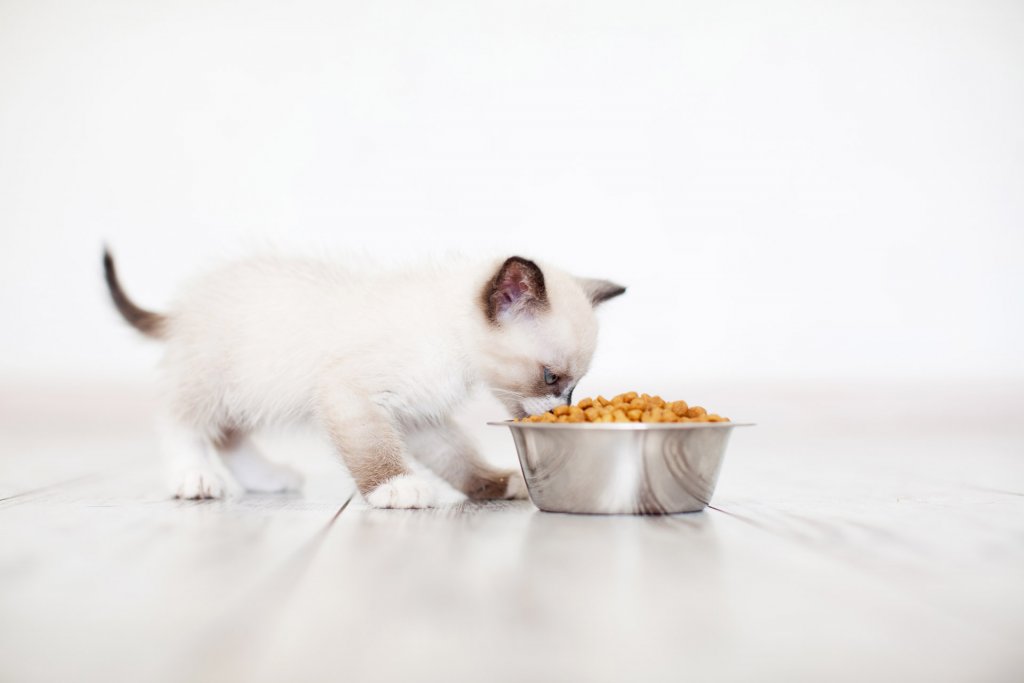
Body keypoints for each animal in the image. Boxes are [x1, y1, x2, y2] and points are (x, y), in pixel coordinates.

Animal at [108, 250, 626, 507]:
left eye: (574, 386)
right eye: (551, 377)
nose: (562, 409)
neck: (453, 344)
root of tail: (182, 308)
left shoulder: (420, 415)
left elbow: (457, 458)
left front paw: (494, 485)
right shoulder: (350, 392)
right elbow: (374, 450)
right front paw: (395, 489)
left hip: (247, 390)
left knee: (229, 435)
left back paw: (268, 478)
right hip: (214, 381)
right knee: (181, 422)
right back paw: (193, 477)